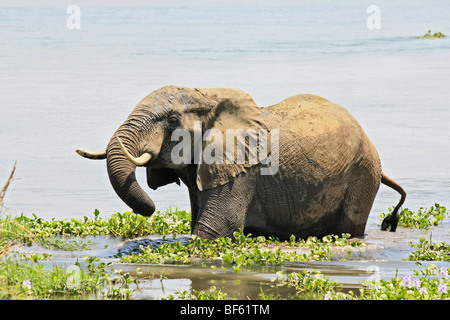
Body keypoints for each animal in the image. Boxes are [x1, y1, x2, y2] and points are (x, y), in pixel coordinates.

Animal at [75, 85, 406, 240]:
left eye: (171, 121)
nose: (151, 209)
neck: (207, 95)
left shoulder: (242, 172)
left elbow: (214, 230)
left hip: (362, 175)